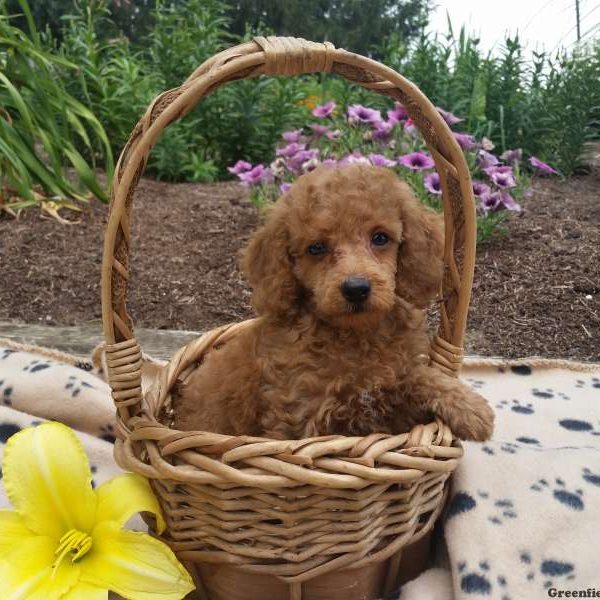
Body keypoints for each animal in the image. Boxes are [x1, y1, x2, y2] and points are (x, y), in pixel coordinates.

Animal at [172, 164, 492, 440]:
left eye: (380, 238)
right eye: (316, 248)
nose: (356, 289)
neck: (355, 335)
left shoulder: (391, 385)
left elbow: (416, 376)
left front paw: (470, 409)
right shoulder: (305, 417)